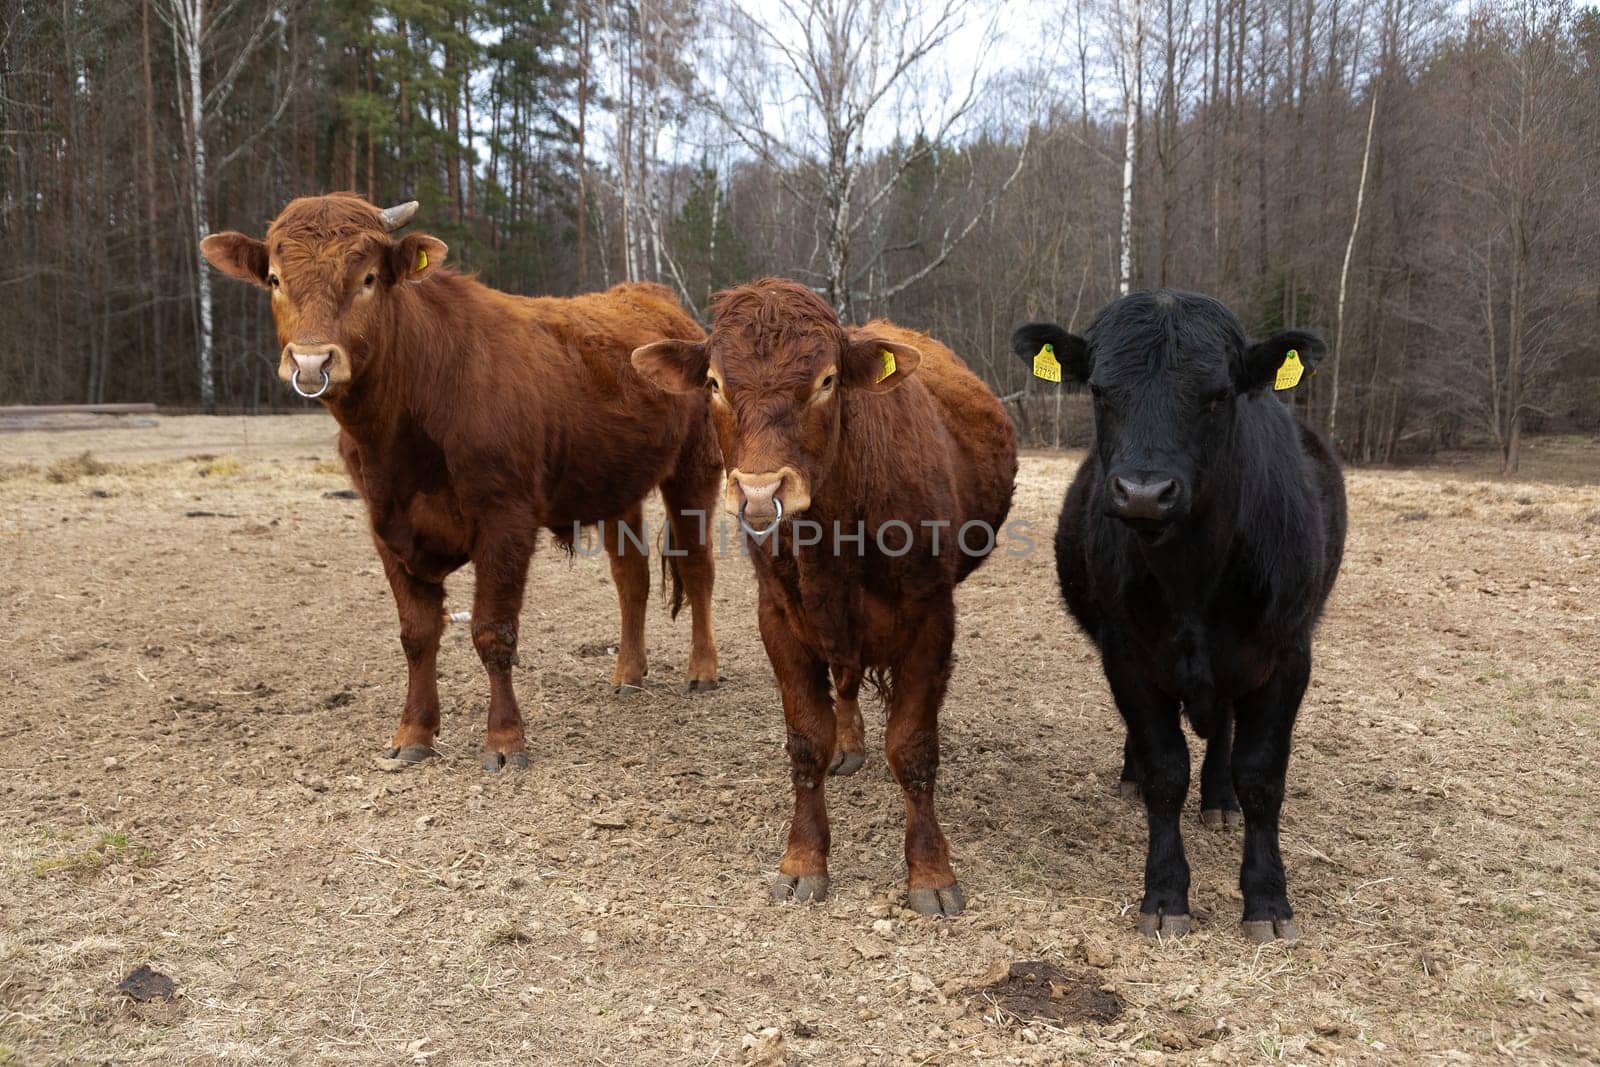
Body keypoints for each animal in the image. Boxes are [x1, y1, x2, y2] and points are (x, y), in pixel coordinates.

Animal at [200, 194, 720, 767]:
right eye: (274, 278)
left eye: (368, 277)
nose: (312, 361)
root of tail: (655, 299)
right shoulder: (386, 523)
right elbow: (418, 634)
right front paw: (413, 733)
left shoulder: (506, 518)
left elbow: (493, 631)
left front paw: (505, 740)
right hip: (616, 485)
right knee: (633, 577)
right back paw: (628, 672)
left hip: (696, 471)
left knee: (698, 568)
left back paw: (703, 670)